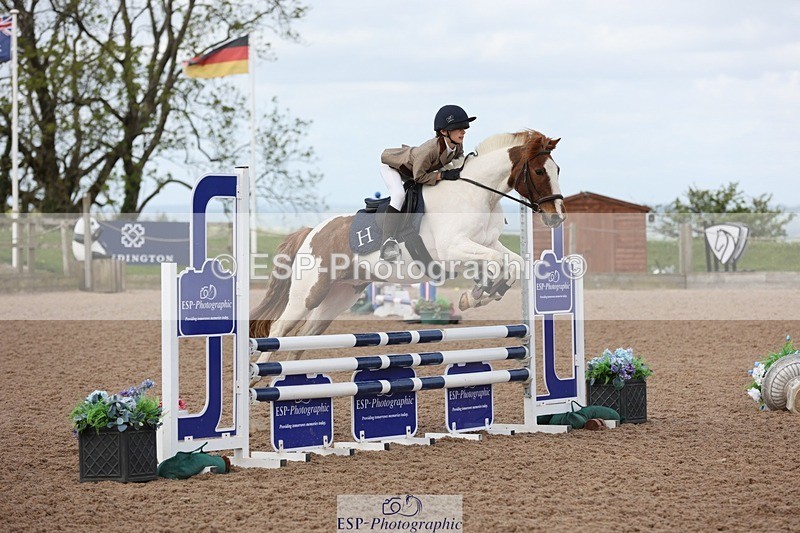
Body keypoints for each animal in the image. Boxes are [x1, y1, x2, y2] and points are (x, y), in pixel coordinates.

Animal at [250, 130, 565, 368]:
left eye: (557, 169)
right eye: (539, 171)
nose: (556, 217)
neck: (476, 193)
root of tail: (311, 233)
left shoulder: (484, 243)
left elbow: (513, 262)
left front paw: (482, 293)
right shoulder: (453, 249)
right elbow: (498, 261)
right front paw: (477, 293)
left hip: (338, 297)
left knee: (302, 338)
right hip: (308, 293)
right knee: (279, 330)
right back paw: (256, 379)